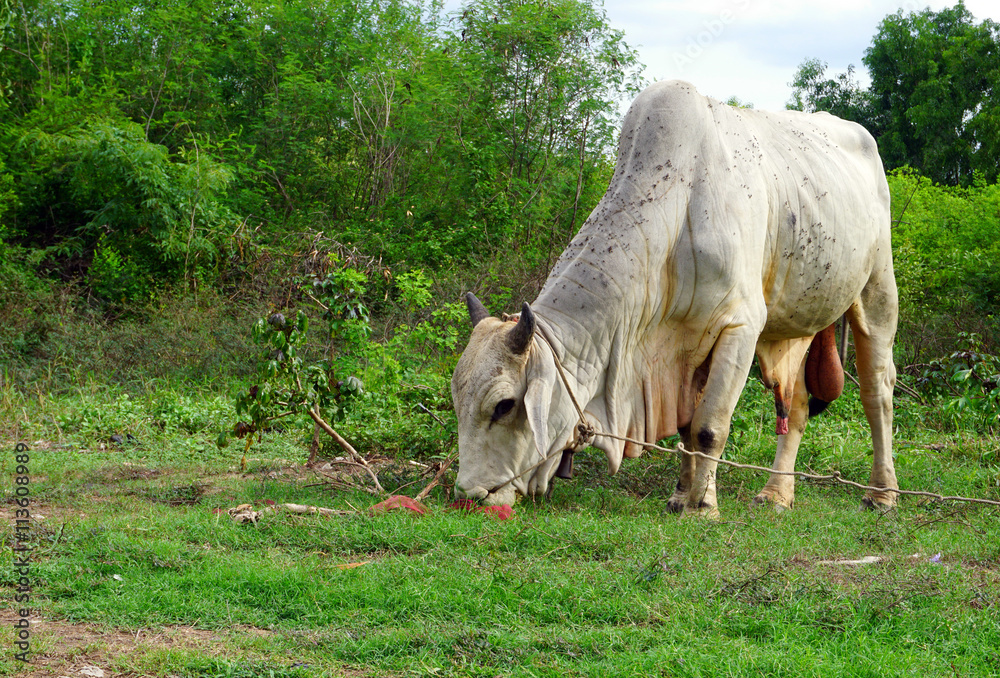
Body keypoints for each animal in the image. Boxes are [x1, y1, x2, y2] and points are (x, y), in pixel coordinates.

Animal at [451, 80, 898, 517]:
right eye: (457, 400)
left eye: (504, 405)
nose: (471, 493)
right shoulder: (681, 352)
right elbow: (687, 429)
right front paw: (684, 495)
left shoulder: (740, 327)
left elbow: (709, 427)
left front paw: (702, 505)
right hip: (795, 322)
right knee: (798, 403)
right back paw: (776, 494)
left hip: (877, 290)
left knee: (877, 392)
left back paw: (882, 493)